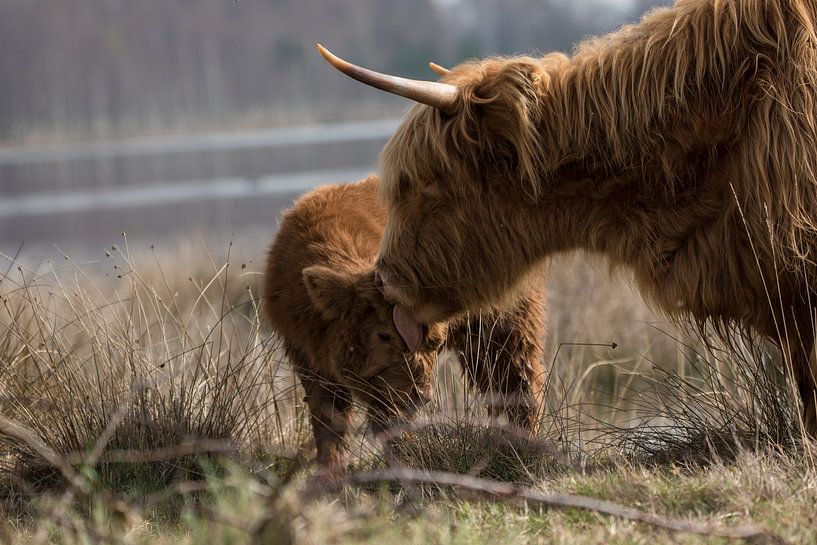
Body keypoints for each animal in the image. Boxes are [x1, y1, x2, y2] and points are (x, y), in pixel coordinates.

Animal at [262, 176, 547, 472]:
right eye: (384, 335)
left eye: (434, 342)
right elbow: (329, 423)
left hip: (505, 324)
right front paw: (331, 473)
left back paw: (520, 451)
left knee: (515, 379)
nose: (421, 394)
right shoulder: (310, 362)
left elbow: (390, 424)